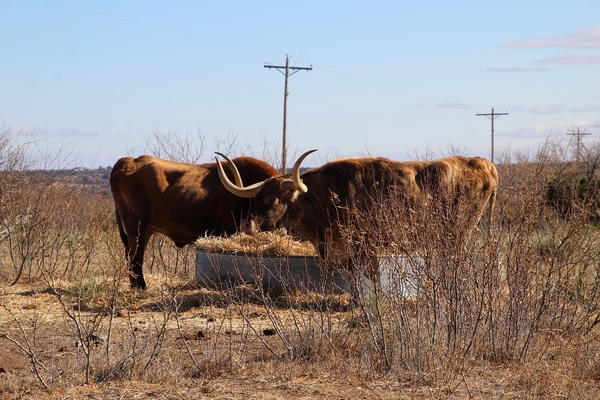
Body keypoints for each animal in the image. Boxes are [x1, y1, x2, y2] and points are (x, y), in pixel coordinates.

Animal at [110, 155, 278, 290]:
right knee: (135, 256)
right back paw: (141, 287)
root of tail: (128, 161)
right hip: (137, 229)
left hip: (144, 231)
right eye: (270, 198)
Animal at [214, 150, 496, 290]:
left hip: (459, 235)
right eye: (256, 197)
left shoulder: (364, 245)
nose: (247, 225)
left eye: (273, 198)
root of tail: (481, 162)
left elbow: (369, 277)